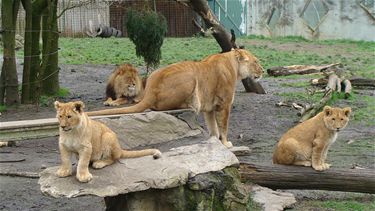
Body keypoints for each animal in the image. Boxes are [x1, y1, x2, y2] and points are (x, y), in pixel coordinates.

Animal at [87, 49, 264, 148]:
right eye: (255, 61)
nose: (263, 71)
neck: (234, 66)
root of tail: (150, 91)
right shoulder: (224, 104)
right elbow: (224, 126)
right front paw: (226, 144)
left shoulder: (210, 108)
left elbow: (213, 127)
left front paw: (216, 141)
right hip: (191, 77)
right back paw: (191, 105)